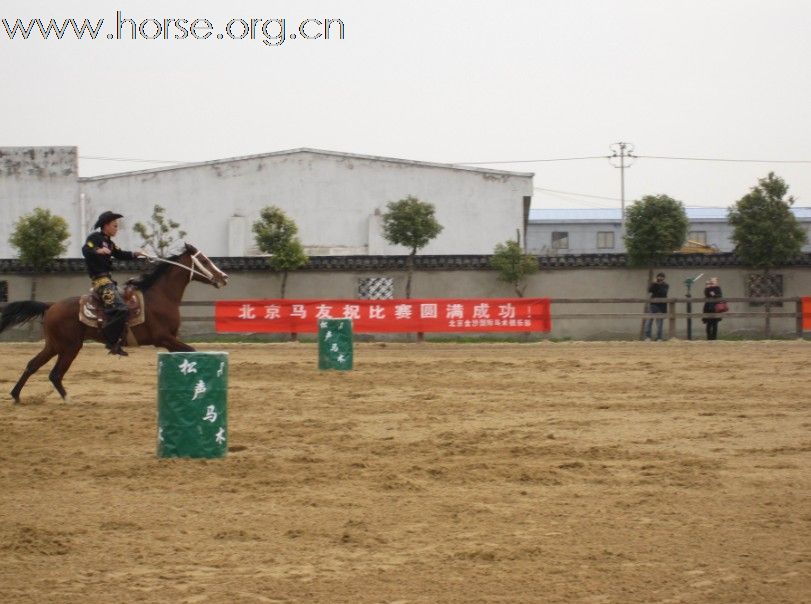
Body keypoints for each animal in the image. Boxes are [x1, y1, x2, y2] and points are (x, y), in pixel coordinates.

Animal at [0, 243, 228, 404]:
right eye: (204, 260)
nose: (223, 277)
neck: (161, 297)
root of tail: (51, 305)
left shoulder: (170, 341)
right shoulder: (164, 338)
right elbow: (193, 351)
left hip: (54, 345)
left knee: (33, 365)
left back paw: (16, 396)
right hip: (69, 347)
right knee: (55, 374)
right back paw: (67, 399)